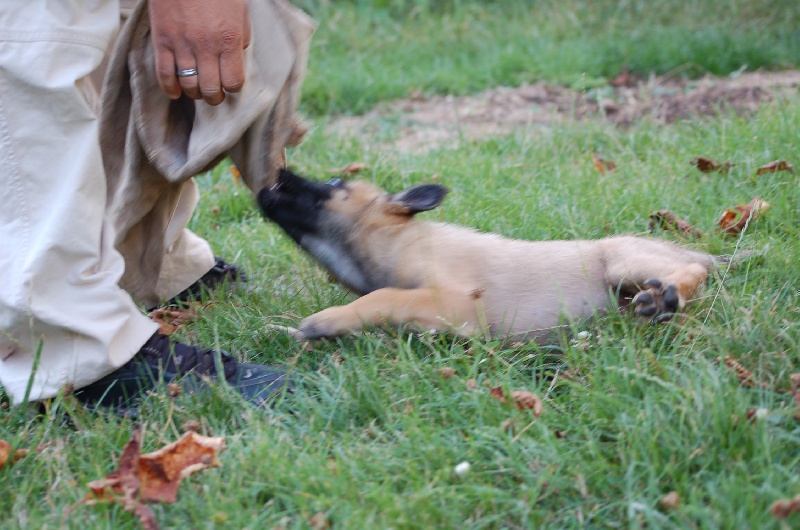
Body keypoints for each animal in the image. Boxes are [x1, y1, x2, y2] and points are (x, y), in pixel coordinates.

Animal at [260, 169, 716, 340]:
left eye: (333, 183)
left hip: (622, 262)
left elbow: (386, 296)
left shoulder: (459, 299)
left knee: (693, 271)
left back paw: (666, 297)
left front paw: (325, 321)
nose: (275, 175)